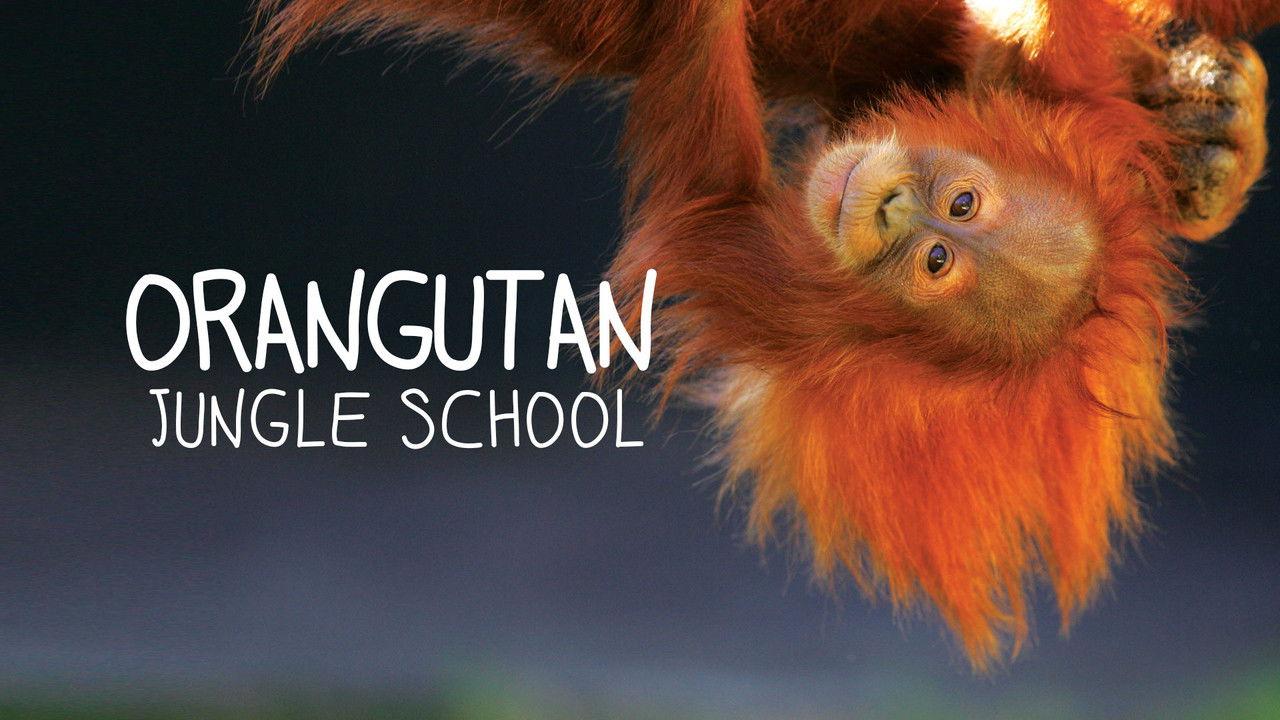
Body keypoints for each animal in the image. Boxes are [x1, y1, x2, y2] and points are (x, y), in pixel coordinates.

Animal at [250, 0, 1277, 669]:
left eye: (936, 263)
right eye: (961, 206)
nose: (895, 210)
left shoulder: (785, 299)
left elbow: (709, 182)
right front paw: (1195, 121)